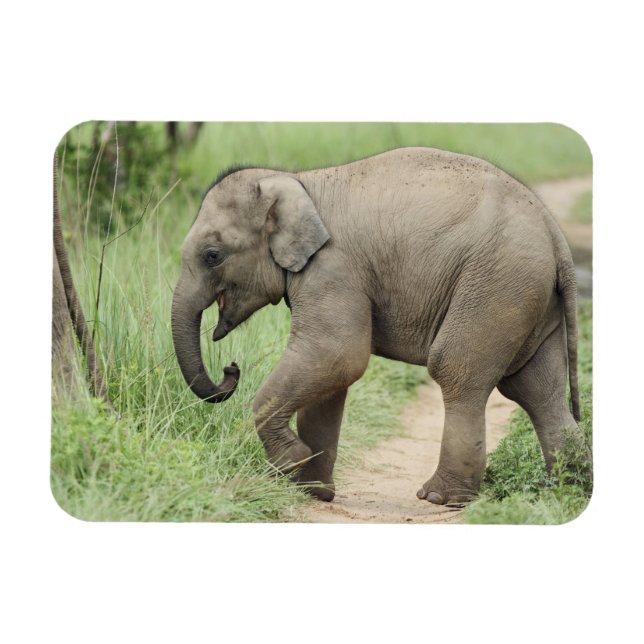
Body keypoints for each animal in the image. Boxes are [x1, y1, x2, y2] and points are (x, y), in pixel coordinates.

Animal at [171, 147, 581, 506]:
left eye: (212, 256)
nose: (231, 368)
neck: (295, 180)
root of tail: (555, 233)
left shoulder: (333, 268)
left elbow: (338, 354)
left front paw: (291, 462)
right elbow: (331, 377)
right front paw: (311, 491)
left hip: (495, 285)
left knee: (457, 371)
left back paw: (440, 498)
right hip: (528, 297)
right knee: (538, 391)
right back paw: (566, 491)